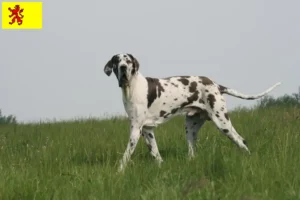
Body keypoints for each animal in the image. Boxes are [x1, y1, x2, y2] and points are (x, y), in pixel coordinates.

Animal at [103, 53, 282, 172]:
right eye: (116, 61)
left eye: (128, 61)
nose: (123, 68)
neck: (133, 87)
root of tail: (216, 85)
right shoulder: (147, 131)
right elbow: (156, 154)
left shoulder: (135, 129)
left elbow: (126, 155)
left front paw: (119, 172)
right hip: (190, 127)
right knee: (192, 152)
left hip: (222, 123)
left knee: (241, 141)